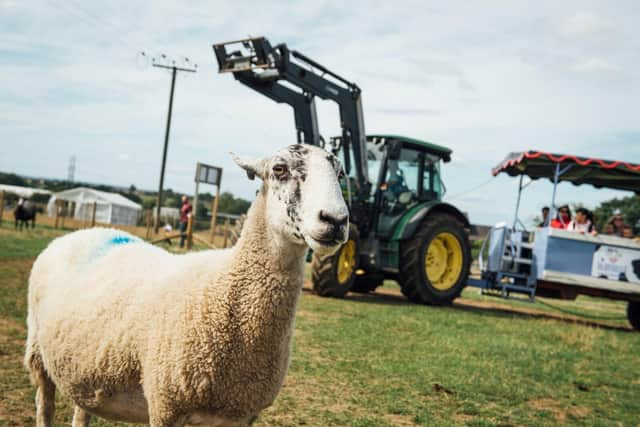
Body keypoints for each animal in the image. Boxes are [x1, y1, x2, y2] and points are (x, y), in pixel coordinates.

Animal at [25, 145, 348, 426]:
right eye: (279, 169)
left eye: (341, 173)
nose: (336, 220)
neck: (227, 287)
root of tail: (86, 232)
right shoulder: (165, 403)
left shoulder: (240, 415)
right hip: (38, 355)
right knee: (45, 406)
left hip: (84, 368)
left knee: (82, 409)